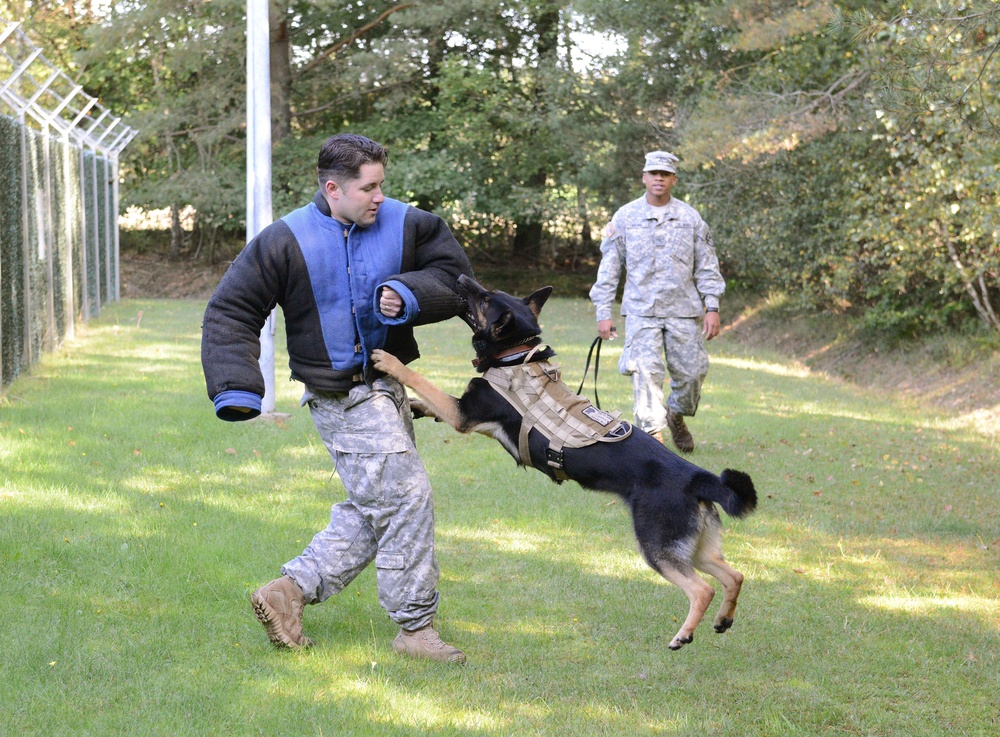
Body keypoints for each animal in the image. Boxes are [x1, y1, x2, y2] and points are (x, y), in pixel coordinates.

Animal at [372, 276, 752, 648]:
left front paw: (390, 362)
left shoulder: (463, 415)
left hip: (657, 545)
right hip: (695, 547)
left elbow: (422, 381)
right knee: (735, 574)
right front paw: (417, 407)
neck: (516, 355)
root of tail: (699, 479)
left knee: (702, 589)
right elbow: (430, 400)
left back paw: (683, 634)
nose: (462, 277)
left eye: (485, 298)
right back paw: (724, 619)